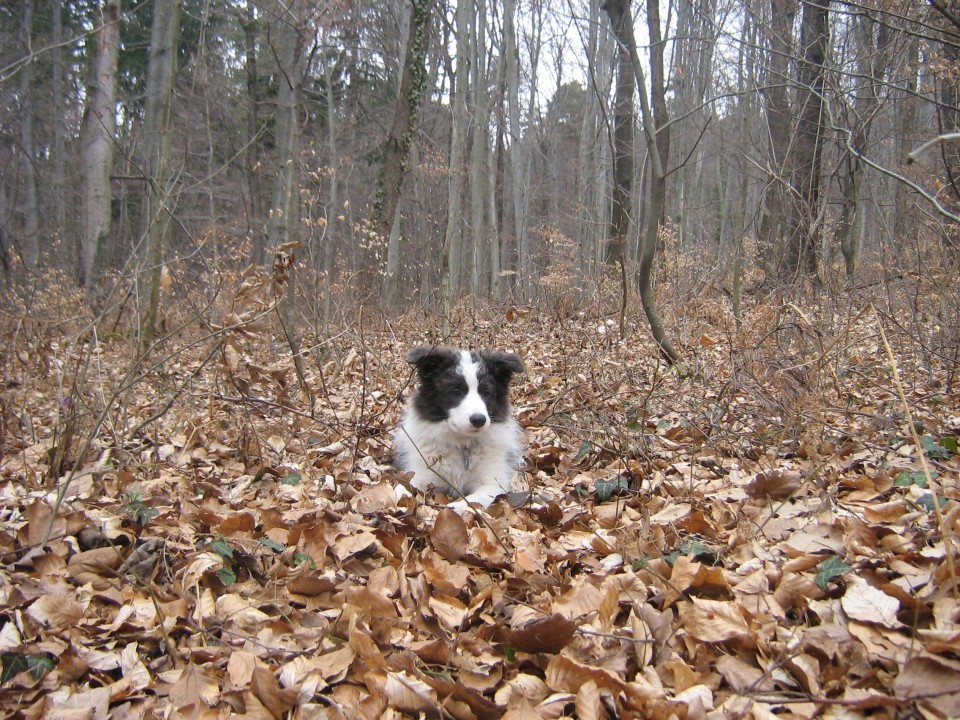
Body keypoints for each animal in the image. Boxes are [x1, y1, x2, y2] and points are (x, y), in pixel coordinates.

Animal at [392, 346, 524, 510]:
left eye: (486, 393)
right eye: (455, 392)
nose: (479, 420)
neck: (463, 445)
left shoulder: (493, 482)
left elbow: (472, 501)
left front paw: (454, 508)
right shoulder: (424, 473)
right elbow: (404, 486)